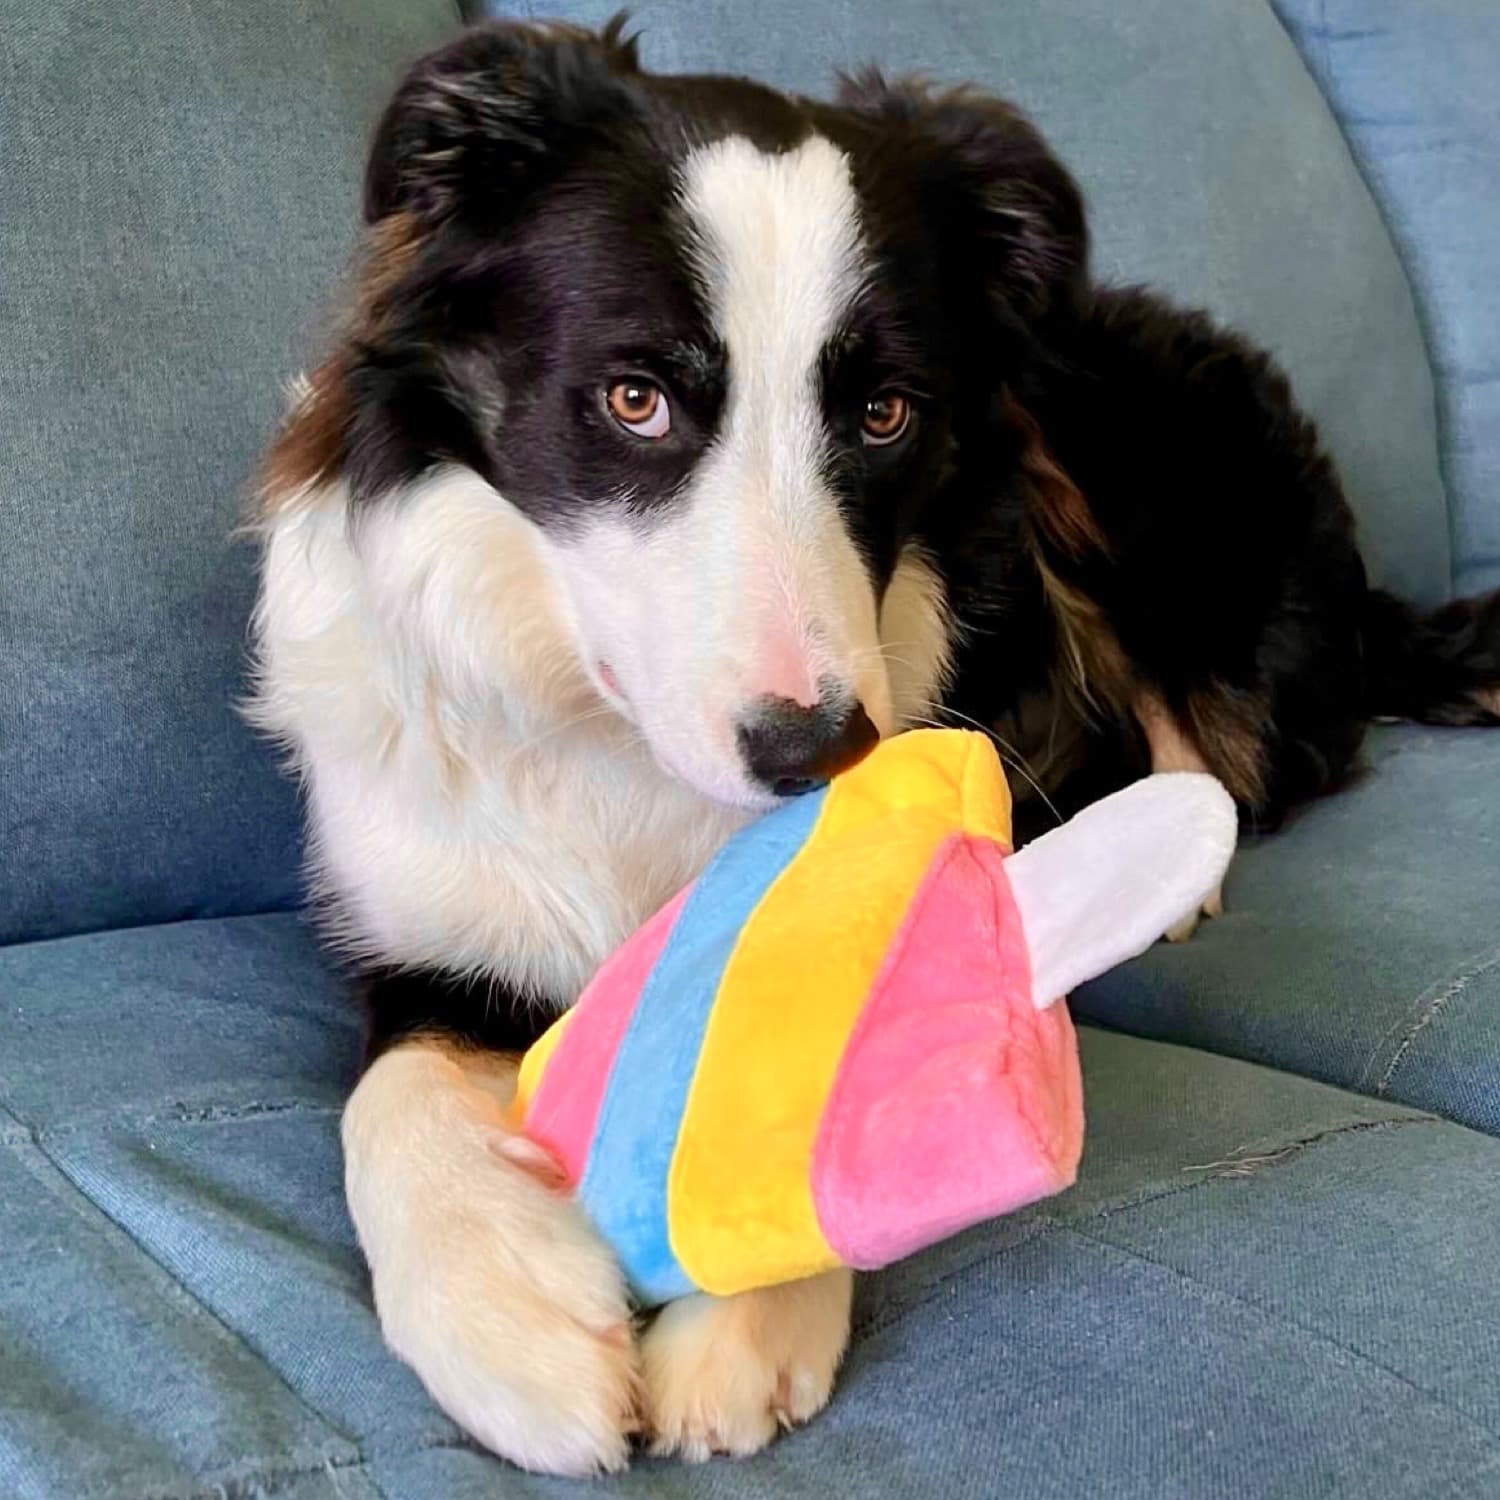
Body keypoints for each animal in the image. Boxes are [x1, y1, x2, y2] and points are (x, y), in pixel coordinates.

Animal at [246, 14, 1500, 1476]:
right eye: (635, 399)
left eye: (886, 414)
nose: (814, 753)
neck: (621, 753)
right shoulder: (422, 922)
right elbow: (389, 1093)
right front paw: (508, 1314)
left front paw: (746, 1309)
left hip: (1069, 475)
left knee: (1217, 737)